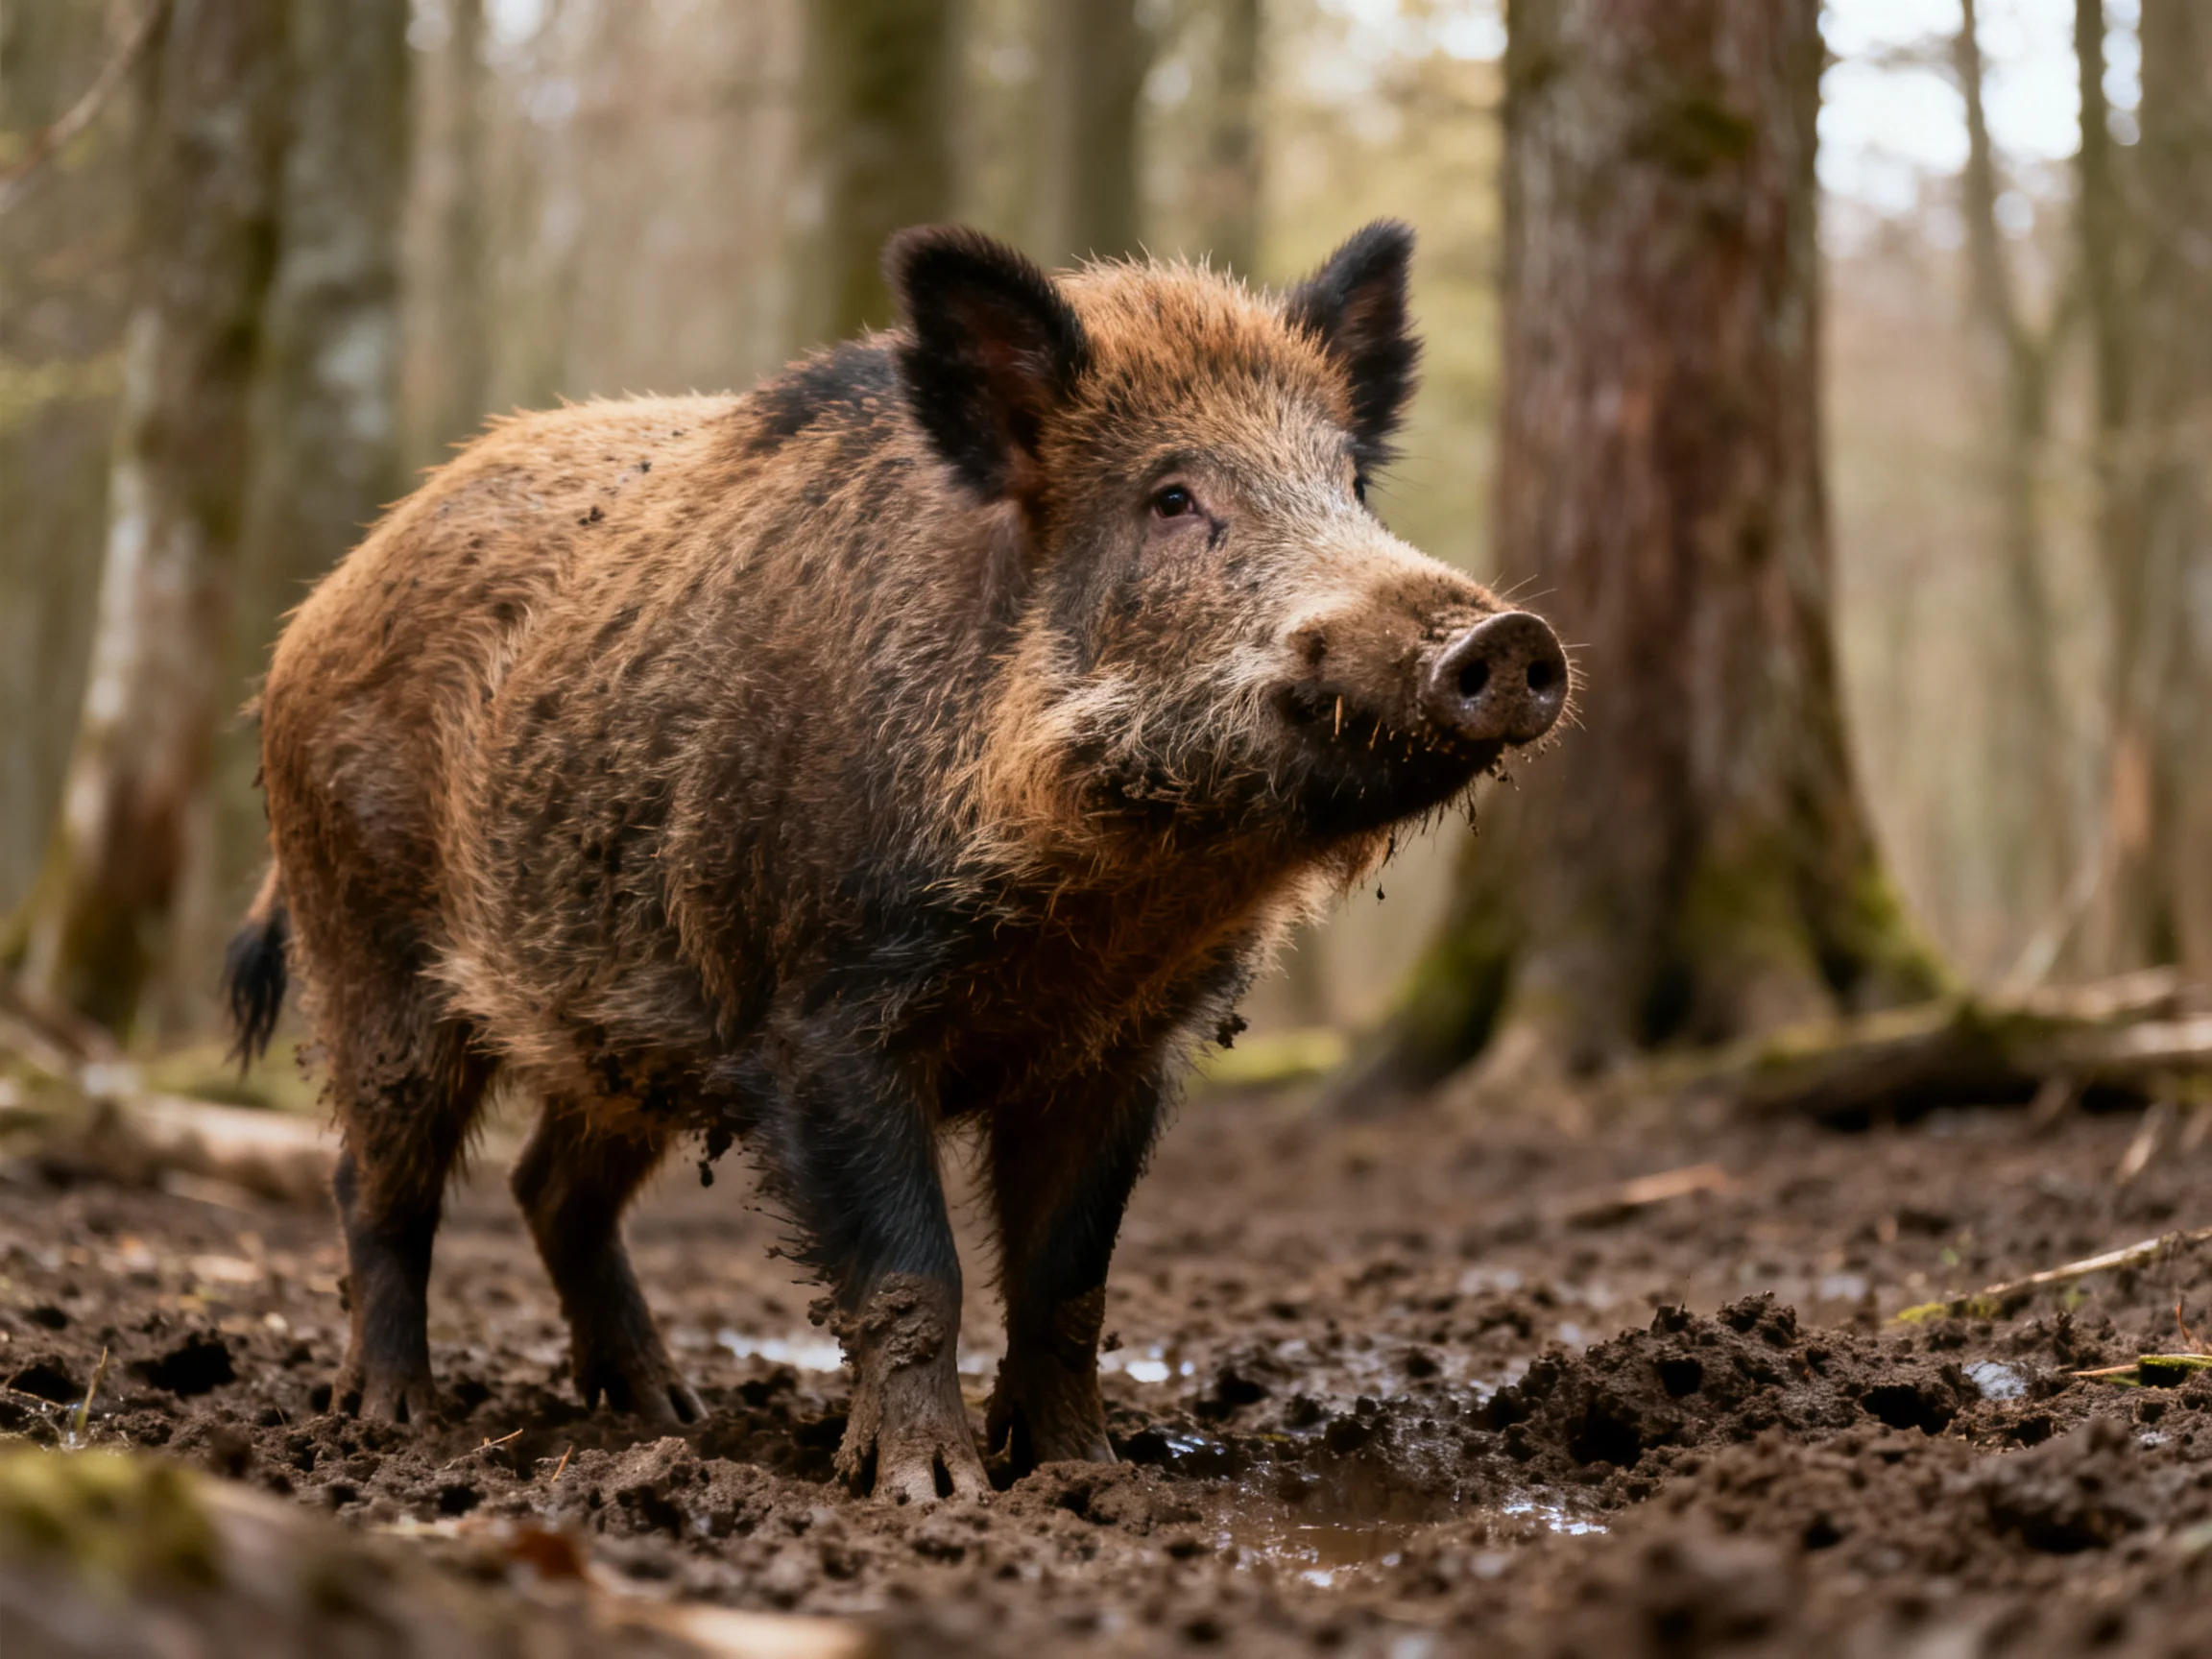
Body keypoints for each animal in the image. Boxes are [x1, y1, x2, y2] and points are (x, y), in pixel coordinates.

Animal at [222, 222, 1568, 1503]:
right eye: (1173, 498)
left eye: (1352, 481)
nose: (1507, 636)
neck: (1100, 904)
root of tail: (314, 610)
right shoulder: (816, 1016)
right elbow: (915, 1270)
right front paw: (933, 1494)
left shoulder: (1122, 1049)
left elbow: (1069, 1280)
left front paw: (1090, 1473)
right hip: (369, 944)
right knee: (379, 1185)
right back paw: (393, 1420)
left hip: (618, 1025)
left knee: (552, 1187)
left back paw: (668, 1415)